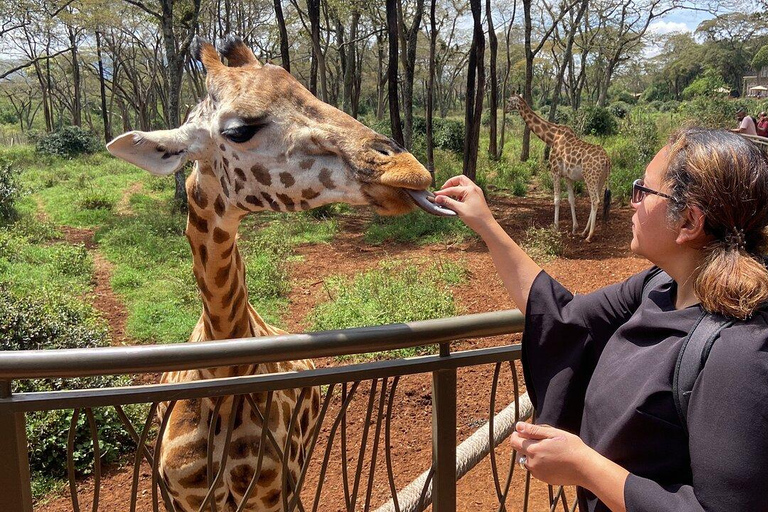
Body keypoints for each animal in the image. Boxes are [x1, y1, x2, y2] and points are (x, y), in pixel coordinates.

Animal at [504, 94, 612, 242]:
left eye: (509, 100)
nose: (505, 110)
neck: (552, 137)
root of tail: (607, 160)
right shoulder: (567, 176)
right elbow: (571, 200)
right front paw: (574, 228)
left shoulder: (554, 171)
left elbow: (556, 199)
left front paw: (555, 227)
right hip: (600, 179)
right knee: (593, 201)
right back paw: (584, 232)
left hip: (590, 177)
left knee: (595, 200)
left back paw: (589, 235)